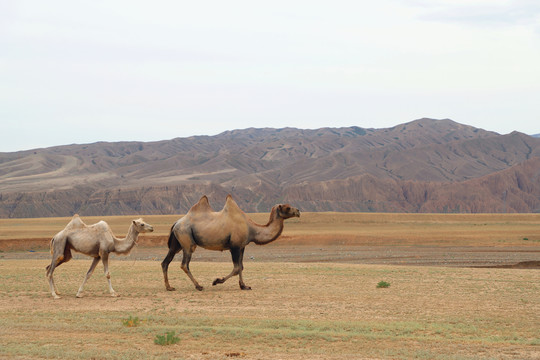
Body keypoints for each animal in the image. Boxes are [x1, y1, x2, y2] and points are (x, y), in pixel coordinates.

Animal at [162, 195, 302, 292]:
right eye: (287, 207)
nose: (298, 211)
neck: (251, 228)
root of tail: (176, 223)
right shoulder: (234, 246)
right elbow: (236, 268)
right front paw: (216, 281)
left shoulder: (242, 246)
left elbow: (241, 266)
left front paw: (244, 286)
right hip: (187, 240)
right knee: (184, 264)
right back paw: (199, 286)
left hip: (176, 243)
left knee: (166, 262)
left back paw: (169, 287)